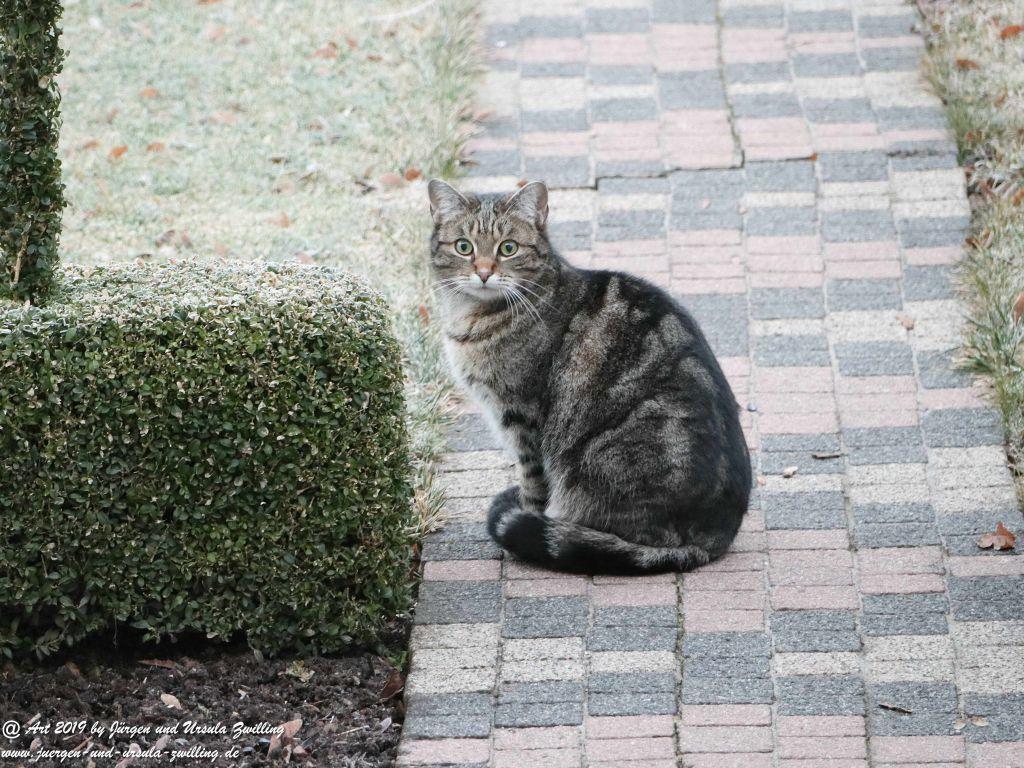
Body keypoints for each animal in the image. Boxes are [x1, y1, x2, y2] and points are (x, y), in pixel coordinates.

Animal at [428, 179, 750, 574]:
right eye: (464, 247)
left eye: (508, 248)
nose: (485, 272)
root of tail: (716, 534)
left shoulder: (522, 418)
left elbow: (532, 484)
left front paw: (526, 518)